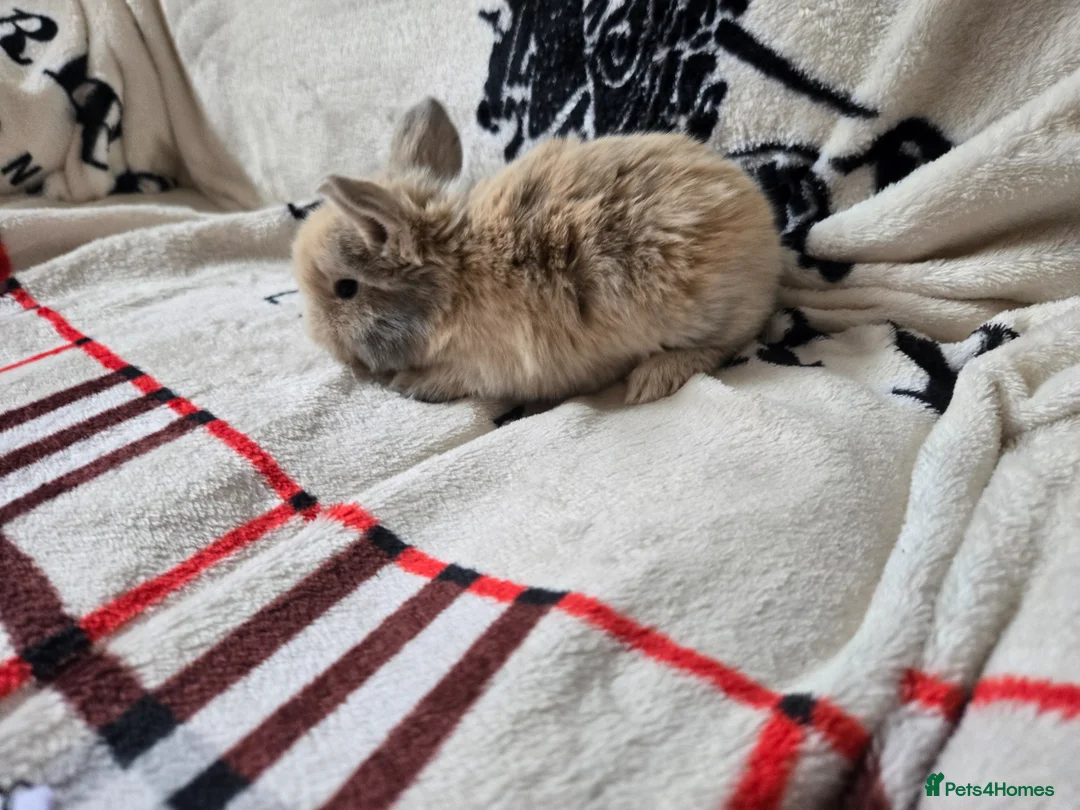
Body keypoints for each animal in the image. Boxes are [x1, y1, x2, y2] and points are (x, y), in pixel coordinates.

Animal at [292, 97, 781, 405]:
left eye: (346, 289)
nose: (321, 341)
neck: (456, 275)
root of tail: (767, 232)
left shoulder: (493, 367)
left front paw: (411, 385)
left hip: (706, 314)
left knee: (729, 341)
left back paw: (652, 380)